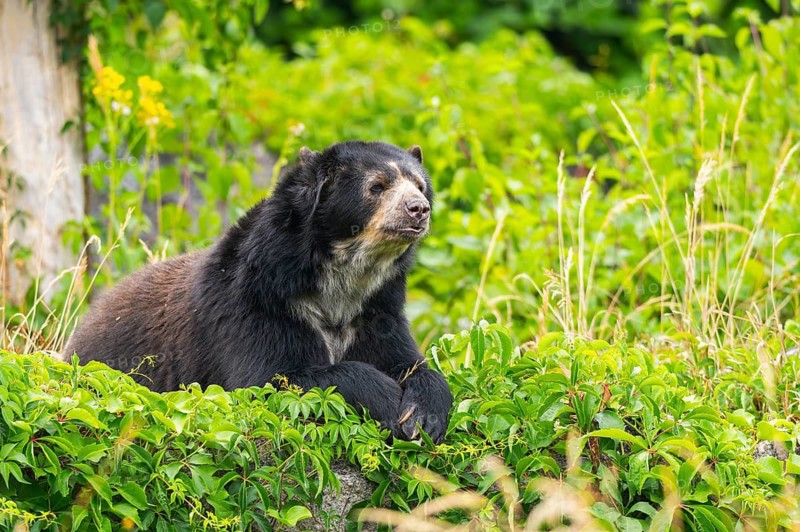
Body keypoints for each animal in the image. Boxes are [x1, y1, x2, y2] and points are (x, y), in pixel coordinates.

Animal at [64, 141, 453, 443]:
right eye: (377, 186)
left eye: (420, 185)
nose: (418, 209)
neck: (340, 283)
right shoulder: (255, 305)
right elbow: (268, 379)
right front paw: (387, 400)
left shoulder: (376, 311)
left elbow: (408, 361)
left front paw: (422, 416)